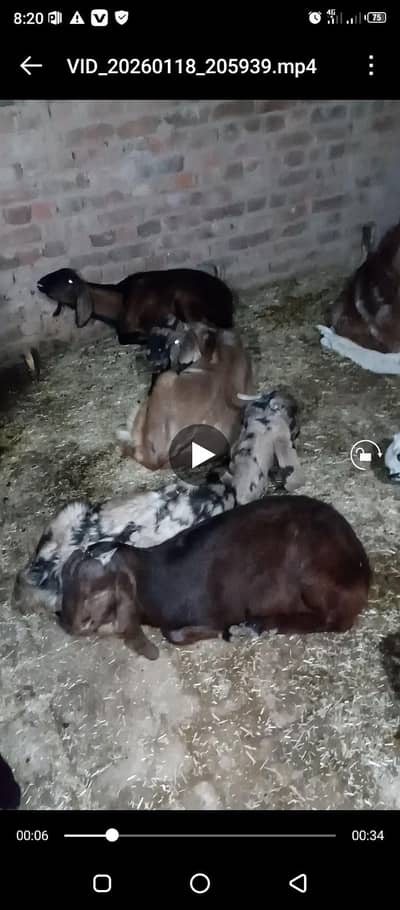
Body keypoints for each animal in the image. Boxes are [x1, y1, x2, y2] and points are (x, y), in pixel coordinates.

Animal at [57, 494, 371, 660]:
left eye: (96, 592)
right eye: (65, 582)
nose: (66, 622)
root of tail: (363, 568)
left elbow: (175, 634)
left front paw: (221, 632)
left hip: (315, 577)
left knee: (334, 621)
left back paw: (255, 625)